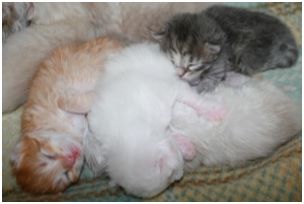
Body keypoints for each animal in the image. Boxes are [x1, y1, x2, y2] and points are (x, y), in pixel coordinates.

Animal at [84, 43, 300, 198]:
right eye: (172, 177)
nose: (180, 176)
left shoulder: (173, 92)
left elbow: (195, 101)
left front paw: (216, 112)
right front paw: (188, 148)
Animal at [153, 4, 298, 92]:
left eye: (191, 65)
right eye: (172, 61)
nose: (180, 74)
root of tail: (286, 34)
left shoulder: (220, 62)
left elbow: (211, 79)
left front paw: (197, 87)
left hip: (249, 55)